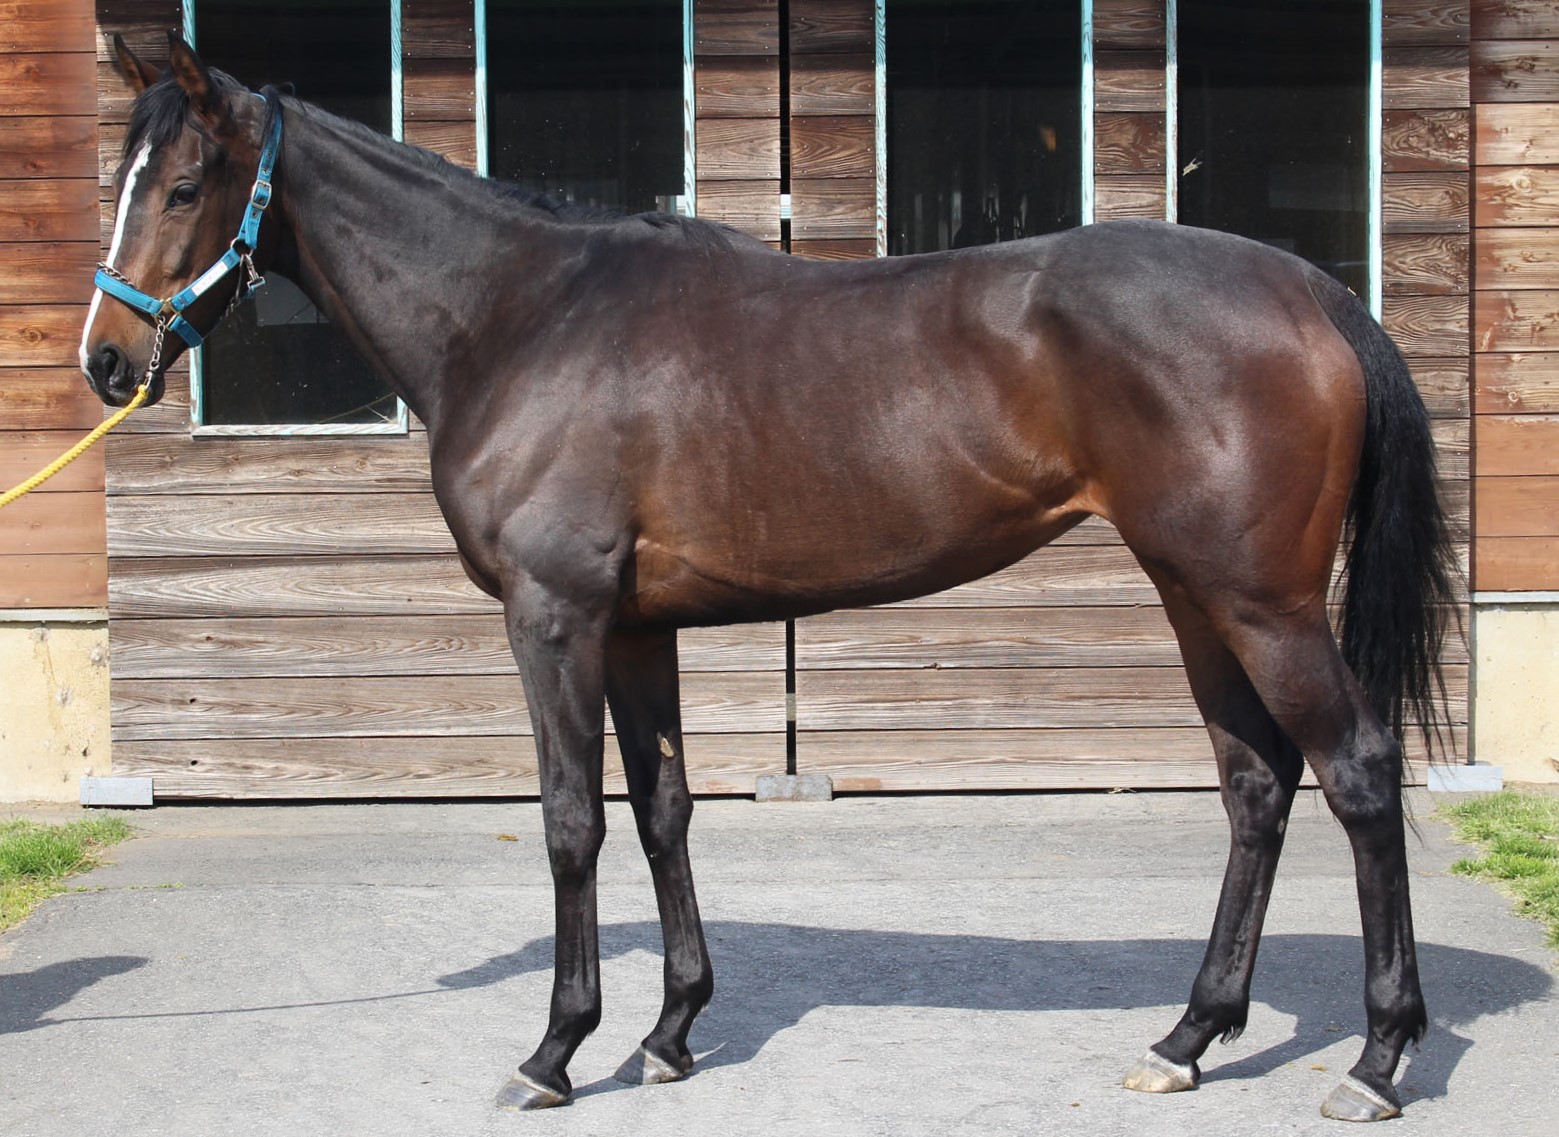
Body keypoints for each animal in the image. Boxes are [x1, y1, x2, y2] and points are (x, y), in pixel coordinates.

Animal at [82, 33, 1457, 1122]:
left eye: (187, 184)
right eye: (125, 181)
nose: (104, 362)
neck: (521, 314)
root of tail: (1314, 290)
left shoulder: (554, 620)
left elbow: (572, 821)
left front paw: (554, 1051)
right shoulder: (635, 630)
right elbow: (661, 810)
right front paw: (670, 1031)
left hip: (1261, 603)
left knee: (1356, 771)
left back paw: (1376, 1059)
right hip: (1192, 592)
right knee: (1255, 786)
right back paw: (1186, 1038)